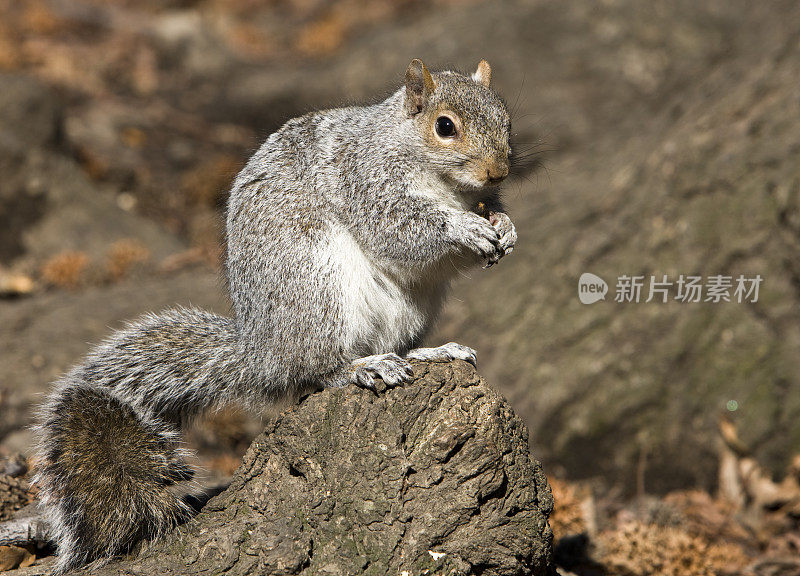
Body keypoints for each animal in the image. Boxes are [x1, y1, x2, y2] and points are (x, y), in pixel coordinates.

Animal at [34, 58, 516, 572]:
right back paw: (363, 367)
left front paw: (504, 226)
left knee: (389, 347)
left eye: (506, 117)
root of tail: (264, 351)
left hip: (409, 309)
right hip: (316, 289)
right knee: (315, 371)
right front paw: (463, 227)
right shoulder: (366, 182)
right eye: (444, 127)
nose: (498, 172)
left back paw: (427, 353)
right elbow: (400, 231)